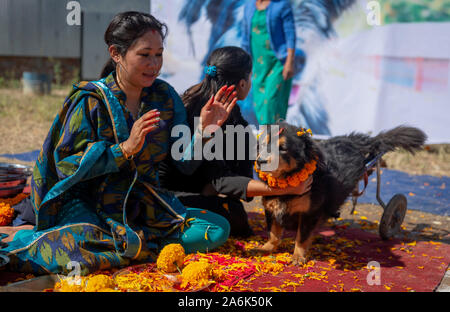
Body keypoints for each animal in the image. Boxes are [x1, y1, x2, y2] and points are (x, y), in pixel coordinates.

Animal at [255, 123, 428, 264]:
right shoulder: (271, 209)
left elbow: (301, 238)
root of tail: (353, 140)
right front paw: (266, 248)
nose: (259, 161)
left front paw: (298, 257)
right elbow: (273, 234)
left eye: (283, 148)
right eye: (263, 144)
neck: (288, 181)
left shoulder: (309, 214)